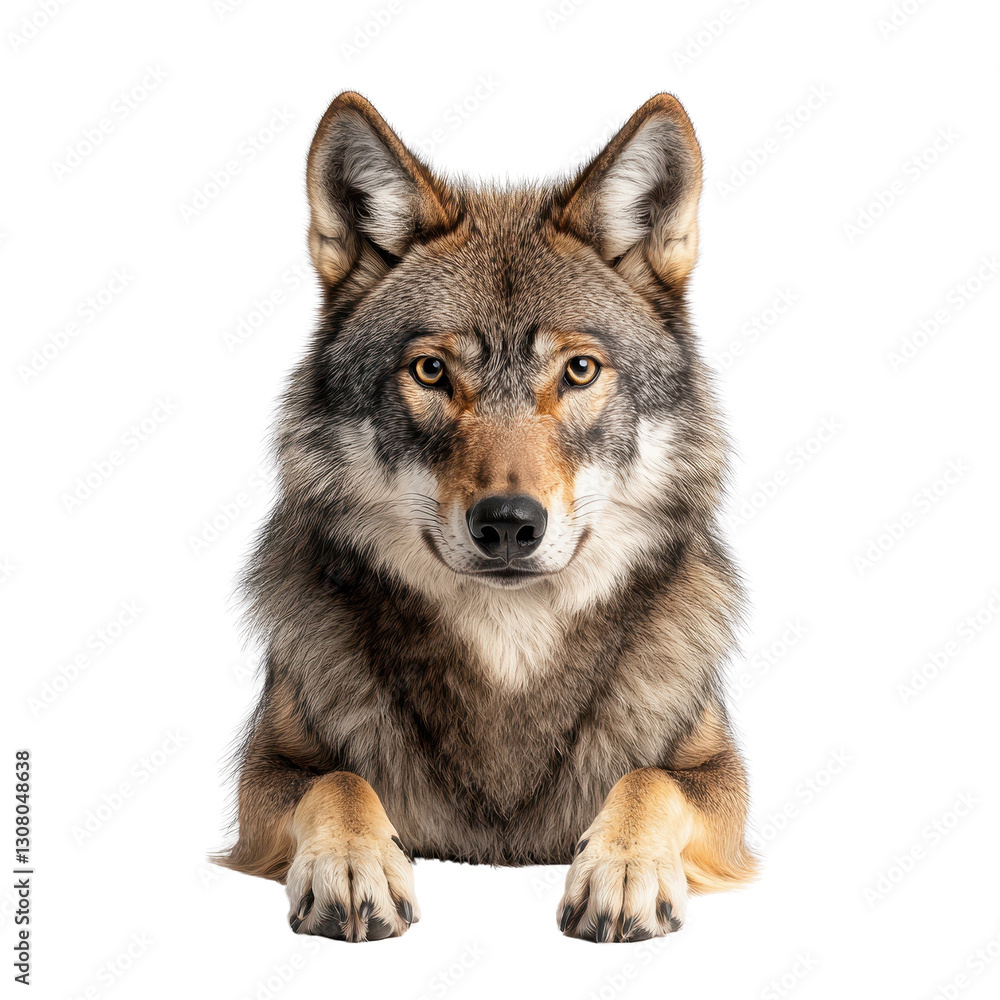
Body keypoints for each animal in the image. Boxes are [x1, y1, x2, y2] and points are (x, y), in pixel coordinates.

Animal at [214, 91, 758, 943]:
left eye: (579, 370)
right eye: (432, 371)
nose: (507, 523)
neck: (510, 650)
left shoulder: (716, 771)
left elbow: (647, 779)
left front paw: (623, 872)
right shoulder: (266, 765)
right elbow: (337, 781)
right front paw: (353, 865)